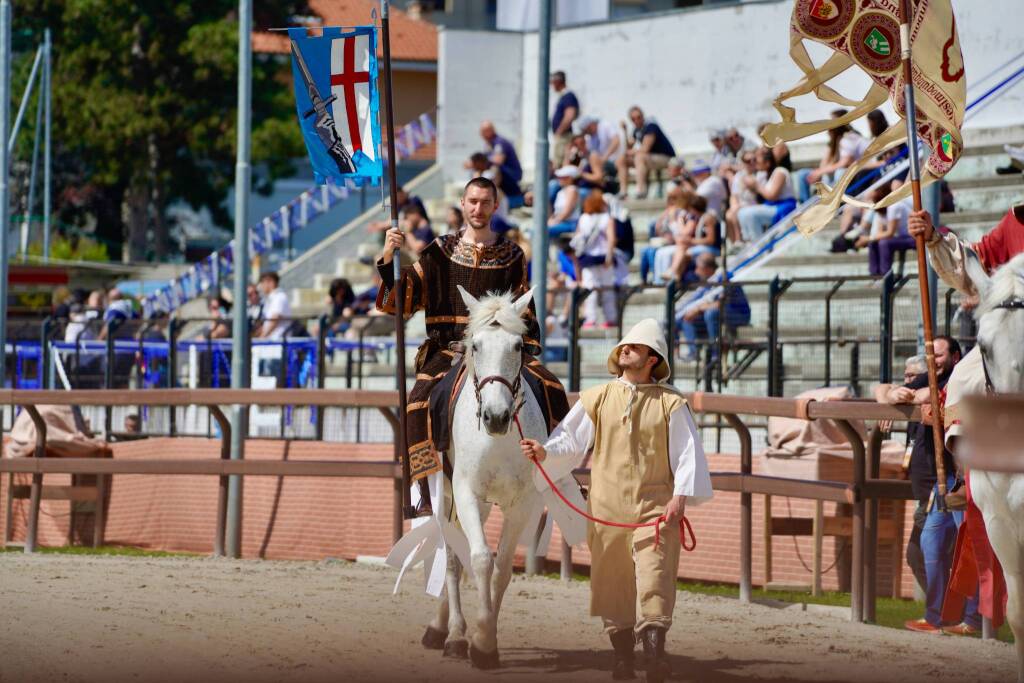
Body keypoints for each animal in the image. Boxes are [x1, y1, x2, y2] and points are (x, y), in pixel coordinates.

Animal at [417, 286, 552, 671]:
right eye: (475, 345)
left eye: (518, 346)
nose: (496, 416)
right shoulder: (465, 494)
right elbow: (478, 559)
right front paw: (475, 643)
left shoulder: (522, 504)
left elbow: (502, 568)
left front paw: (486, 639)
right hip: (448, 498)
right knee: (452, 558)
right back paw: (447, 632)